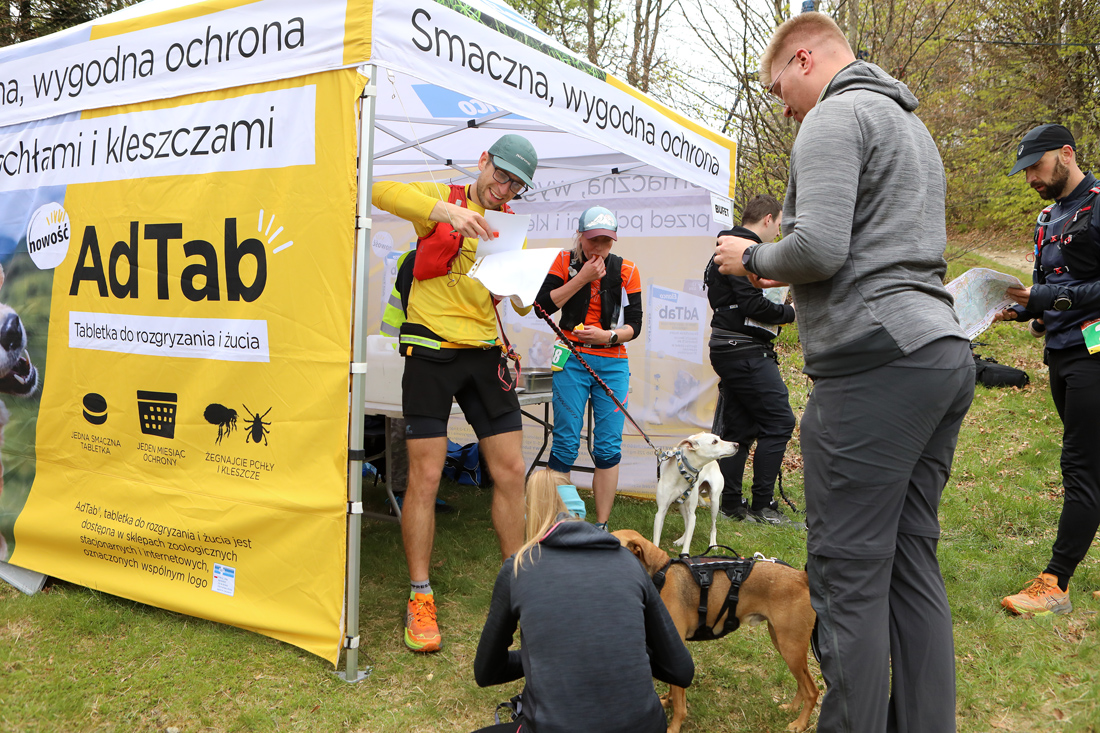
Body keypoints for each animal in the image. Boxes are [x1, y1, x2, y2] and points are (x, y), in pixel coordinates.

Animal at [615, 529, 819, 733]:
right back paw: (791, 708)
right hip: (783, 643)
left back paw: (799, 723)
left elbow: (680, 702)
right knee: (802, 684)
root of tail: (802, 577)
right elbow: (674, 686)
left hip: (790, 648)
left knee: (812, 690)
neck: (658, 578)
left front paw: (673, 727)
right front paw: (668, 700)